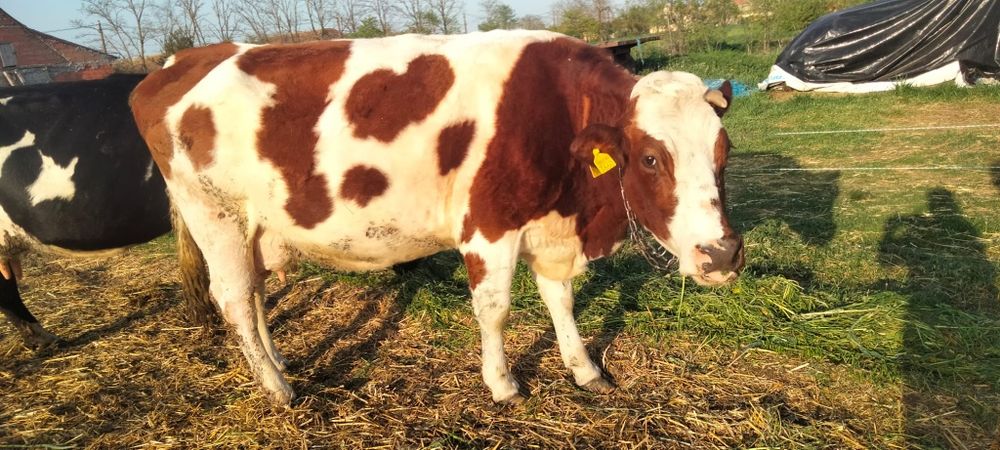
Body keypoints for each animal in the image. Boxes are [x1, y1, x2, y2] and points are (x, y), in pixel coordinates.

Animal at [130, 30, 744, 406]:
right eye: (650, 158)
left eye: (725, 149)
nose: (722, 254)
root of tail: (183, 60)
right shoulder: (489, 226)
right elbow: (494, 310)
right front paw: (503, 384)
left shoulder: (550, 228)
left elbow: (561, 300)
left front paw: (584, 368)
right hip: (214, 214)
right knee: (233, 297)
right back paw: (277, 387)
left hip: (252, 226)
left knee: (254, 295)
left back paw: (277, 362)